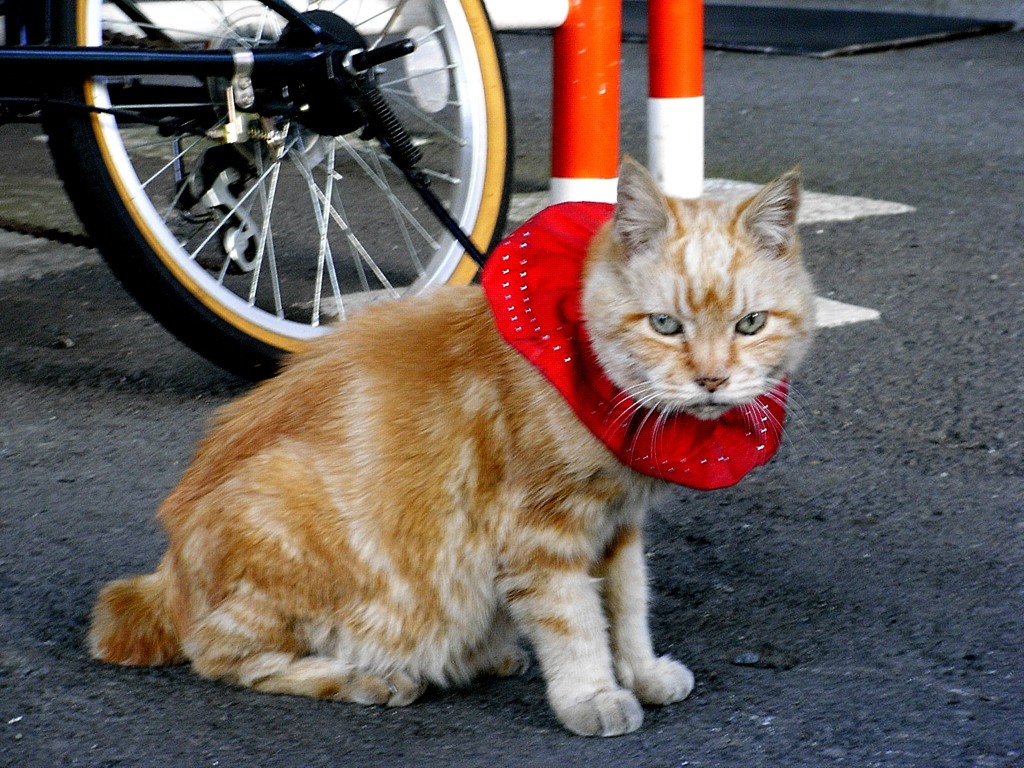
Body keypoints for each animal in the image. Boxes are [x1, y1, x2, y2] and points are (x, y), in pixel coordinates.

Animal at [92, 157, 819, 741]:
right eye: (665, 325)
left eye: (750, 324)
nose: (712, 380)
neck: (578, 360)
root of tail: (167, 578)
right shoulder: (542, 533)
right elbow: (577, 622)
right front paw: (592, 695)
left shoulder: (618, 527)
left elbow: (628, 606)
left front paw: (639, 673)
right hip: (277, 522)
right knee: (225, 657)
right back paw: (366, 676)